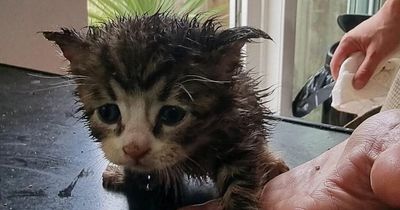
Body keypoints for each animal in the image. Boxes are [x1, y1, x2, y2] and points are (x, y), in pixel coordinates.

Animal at [43, 13, 288, 210]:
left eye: (172, 115)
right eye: (108, 113)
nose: (134, 149)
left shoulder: (236, 127)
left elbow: (240, 177)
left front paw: (239, 203)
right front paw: (127, 175)